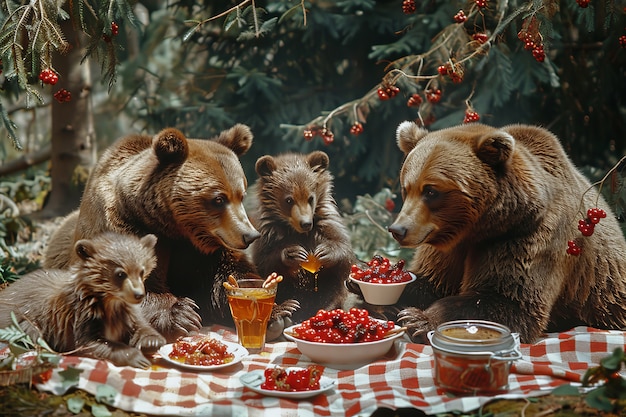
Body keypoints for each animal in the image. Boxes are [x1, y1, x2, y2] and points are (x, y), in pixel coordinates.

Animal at [44, 124, 266, 342]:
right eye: (219, 199)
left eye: (241, 195)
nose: (250, 235)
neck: (173, 227)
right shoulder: (125, 228)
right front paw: (182, 314)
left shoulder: (202, 249)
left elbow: (228, 274)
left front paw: (271, 309)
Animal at [247, 150, 358, 322]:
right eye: (288, 199)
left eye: (310, 198)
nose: (306, 223)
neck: (295, 231)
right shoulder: (268, 235)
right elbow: (265, 263)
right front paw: (293, 253)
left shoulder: (326, 225)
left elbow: (344, 255)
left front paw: (325, 251)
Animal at [386, 119, 624, 342]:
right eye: (406, 188)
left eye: (431, 191)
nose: (398, 229)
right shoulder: (446, 246)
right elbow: (429, 280)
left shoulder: (527, 237)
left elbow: (507, 300)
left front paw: (418, 319)